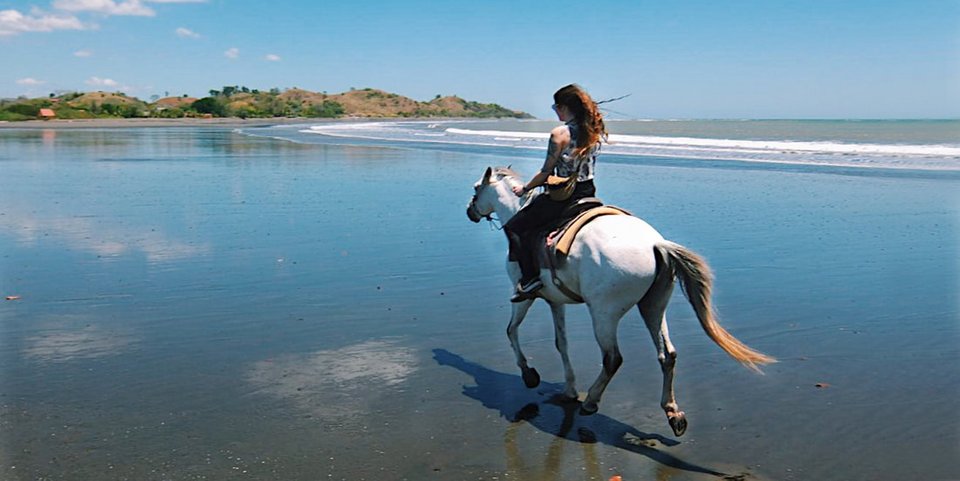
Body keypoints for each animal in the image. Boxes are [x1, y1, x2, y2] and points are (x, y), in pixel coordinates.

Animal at [468, 167, 776, 436]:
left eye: (476, 188)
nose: (470, 211)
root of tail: (656, 244)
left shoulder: (523, 295)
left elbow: (512, 331)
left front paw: (529, 374)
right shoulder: (556, 301)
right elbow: (561, 343)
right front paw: (569, 389)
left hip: (604, 314)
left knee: (613, 358)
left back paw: (591, 402)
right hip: (654, 306)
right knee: (668, 355)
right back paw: (673, 413)